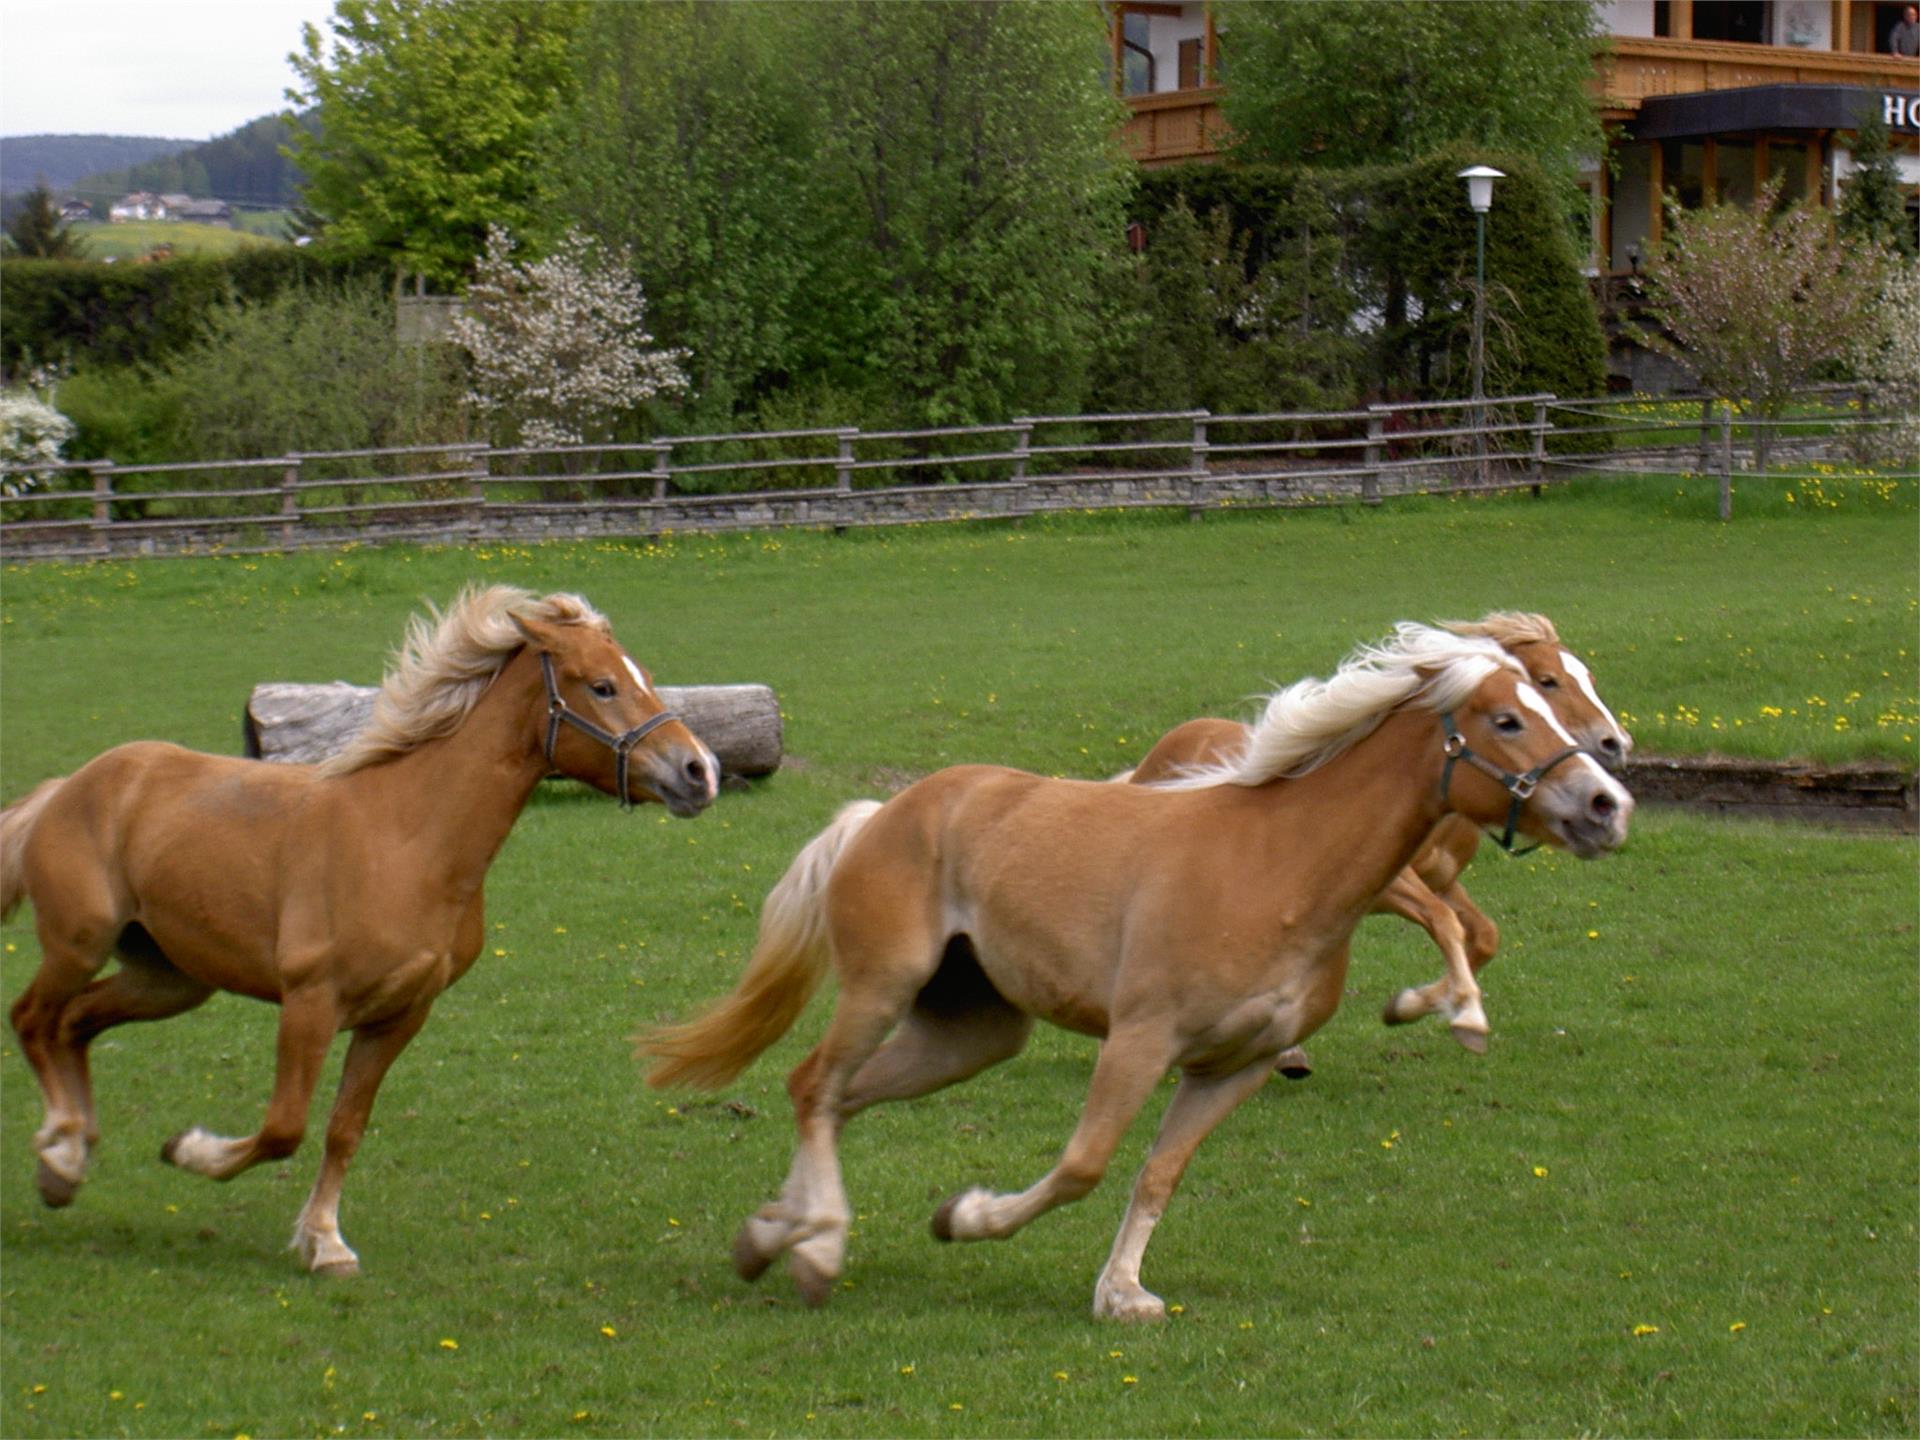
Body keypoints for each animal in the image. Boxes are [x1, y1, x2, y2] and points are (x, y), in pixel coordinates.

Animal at [0, 583, 721, 1274]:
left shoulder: (399, 1015)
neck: (406, 840)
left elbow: (345, 1127)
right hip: (80, 943)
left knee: (75, 1022)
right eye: (602, 686)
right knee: (33, 1017)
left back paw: (66, 1163)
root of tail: (69, 786)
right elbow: (284, 1127)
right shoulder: (312, 1003)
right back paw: (60, 1153)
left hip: (170, 979)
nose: (701, 771)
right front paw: (190, 1152)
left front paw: (325, 1242)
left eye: (643, 676)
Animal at [1121, 614, 1635, 1067]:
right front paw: (1447, 1011)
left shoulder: (1442, 880)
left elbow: (1482, 936)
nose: (1616, 744)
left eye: (1587, 676)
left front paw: (1414, 1003)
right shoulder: (1391, 886)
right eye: (1548, 681)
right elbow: (1444, 922)